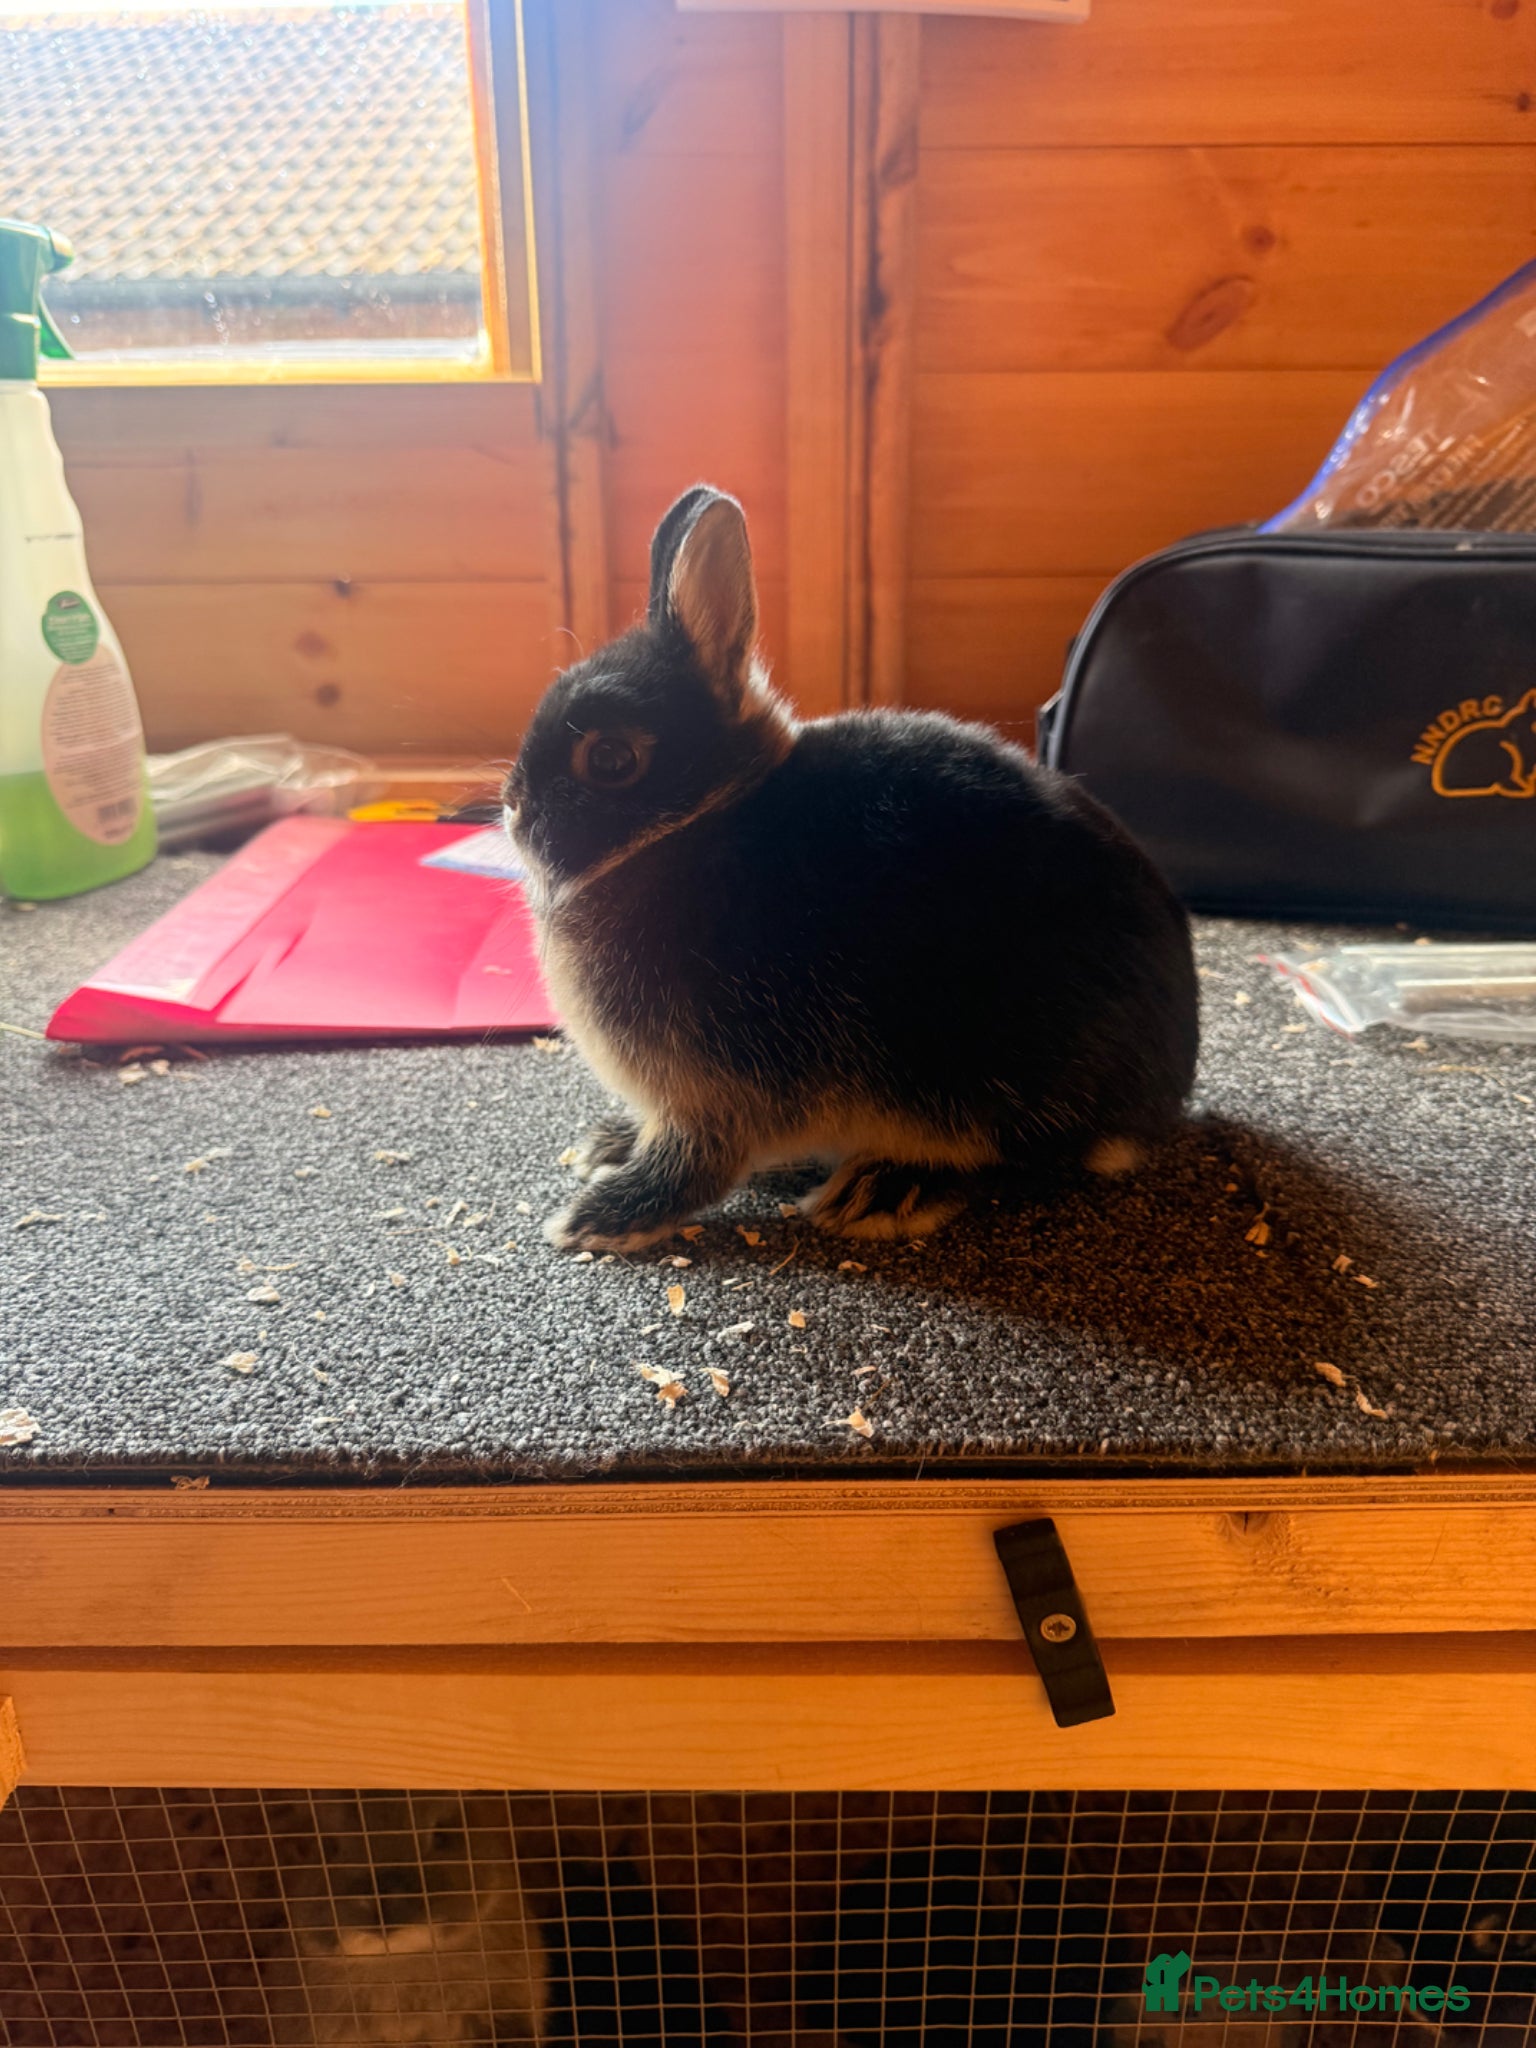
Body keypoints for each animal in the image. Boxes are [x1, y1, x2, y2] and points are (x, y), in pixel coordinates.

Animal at [504, 485, 1198, 1252]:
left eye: (610, 759)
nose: (511, 808)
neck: (688, 827)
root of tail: (1161, 1101)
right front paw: (610, 1145)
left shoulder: (718, 1092)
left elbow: (694, 1162)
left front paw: (600, 1218)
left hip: (984, 1077)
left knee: (1021, 1159)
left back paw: (882, 1190)